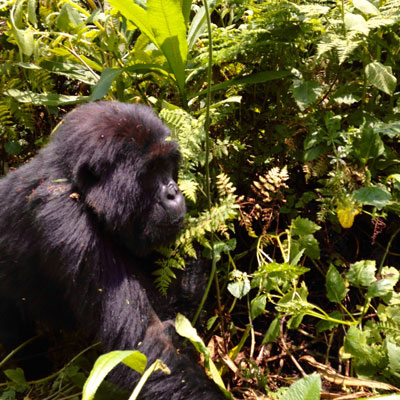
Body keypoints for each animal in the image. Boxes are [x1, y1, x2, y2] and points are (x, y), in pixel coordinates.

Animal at [0, 101, 223, 398]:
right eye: (151, 170)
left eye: (167, 165)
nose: (173, 192)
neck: (75, 184)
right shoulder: (67, 222)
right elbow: (142, 348)